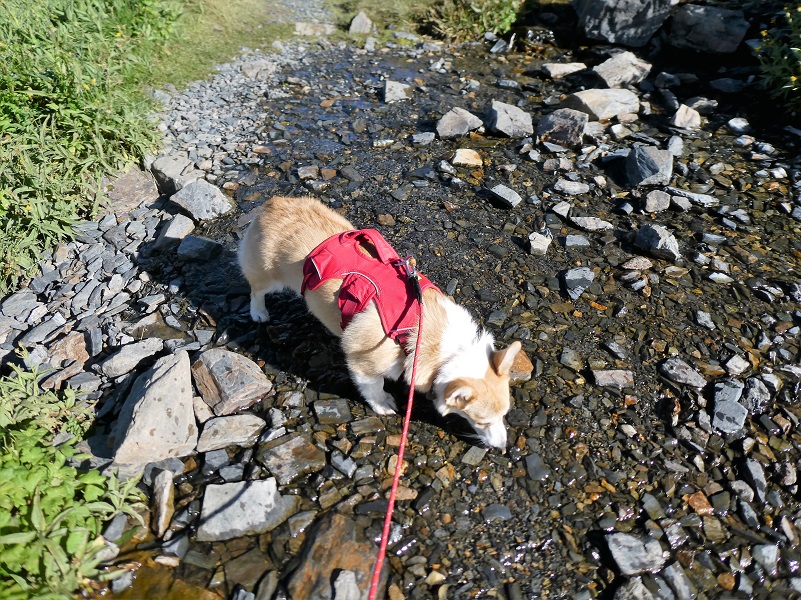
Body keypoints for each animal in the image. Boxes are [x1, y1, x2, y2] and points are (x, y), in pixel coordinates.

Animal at [238, 195, 520, 448]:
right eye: (482, 421)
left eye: (505, 415)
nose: (503, 448)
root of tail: (272, 203)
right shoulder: (363, 361)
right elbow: (374, 387)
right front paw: (383, 404)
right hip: (267, 275)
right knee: (256, 290)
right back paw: (259, 313)